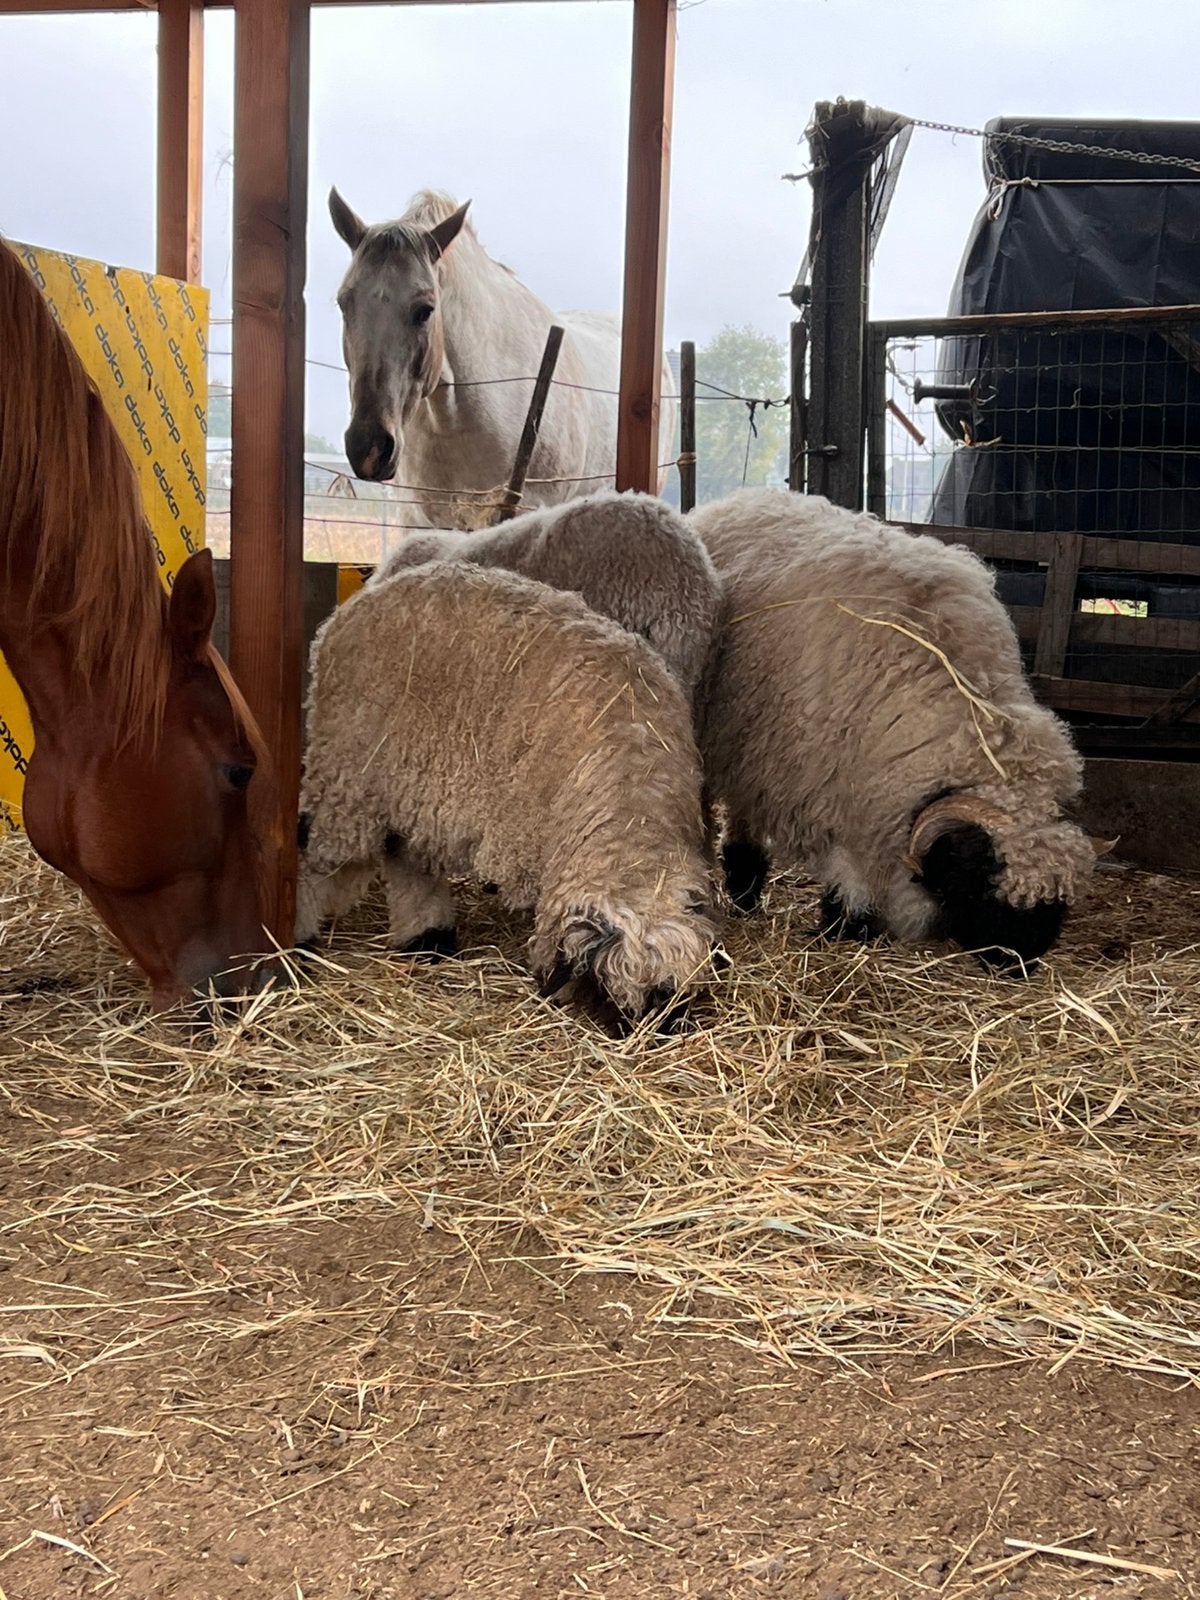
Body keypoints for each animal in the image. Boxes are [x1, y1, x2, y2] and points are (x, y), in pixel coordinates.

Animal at [297, 560, 717, 1033]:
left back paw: (428, 939)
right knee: (314, 855)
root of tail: (359, 602)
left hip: (411, 785)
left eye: (670, 994)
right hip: (349, 775)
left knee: (408, 858)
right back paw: (298, 943)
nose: (649, 1037)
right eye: (608, 990)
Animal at [690, 488, 1100, 973]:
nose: (1018, 965)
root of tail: (744, 496)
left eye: (1058, 904)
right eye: (982, 886)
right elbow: (851, 873)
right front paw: (846, 926)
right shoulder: (836, 794)